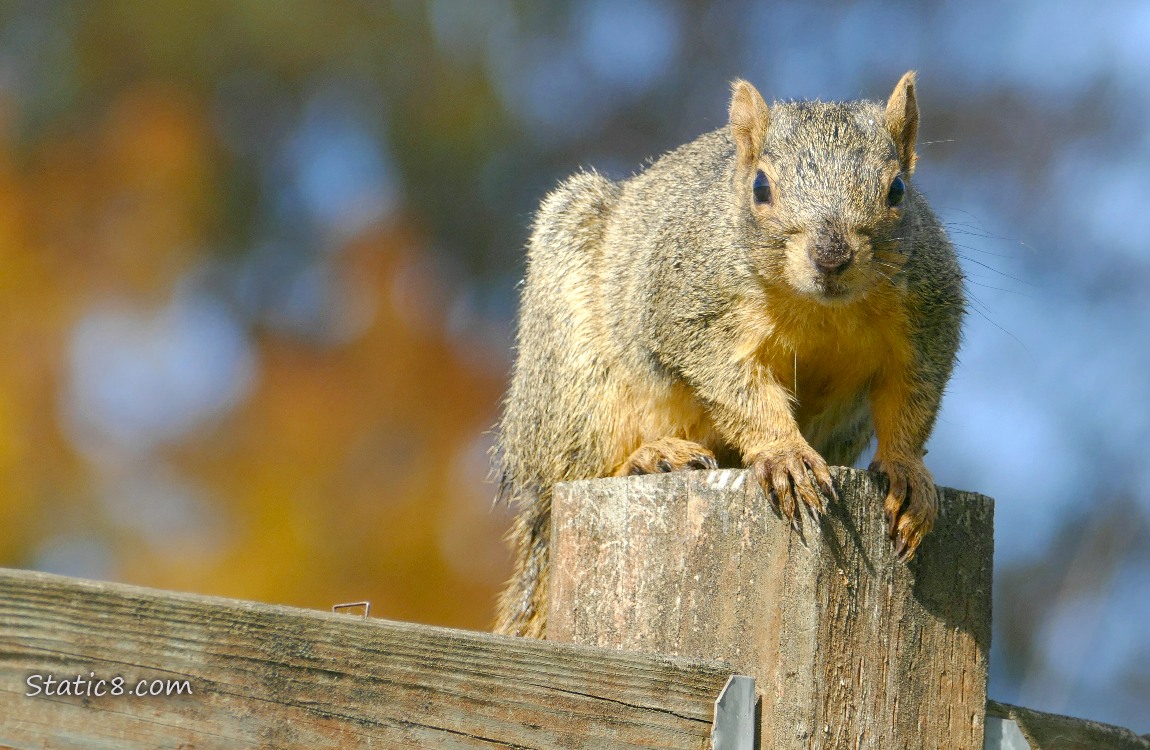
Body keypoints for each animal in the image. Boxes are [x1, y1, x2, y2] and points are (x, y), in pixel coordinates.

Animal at [493, 72, 965, 638]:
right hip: (571, 378)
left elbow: (913, 397)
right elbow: (735, 387)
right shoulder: (692, 311)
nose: (831, 256)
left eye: (897, 190)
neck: (820, 309)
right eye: (761, 187)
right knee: (570, 471)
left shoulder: (929, 318)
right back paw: (648, 458)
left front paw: (906, 469)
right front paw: (784, 453)